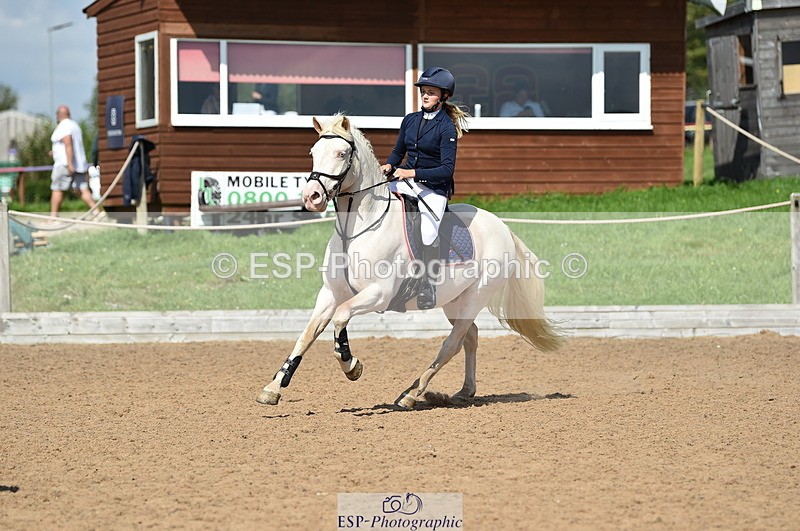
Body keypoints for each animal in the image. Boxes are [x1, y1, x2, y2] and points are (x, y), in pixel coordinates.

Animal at [257, 114, 563, 409]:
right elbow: (306, 335)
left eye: (342, 153)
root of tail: (502, 227)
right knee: (470, 337)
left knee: (452, 343)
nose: (312, 197)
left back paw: (412, 393)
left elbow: (341, 317)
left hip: (475, 297)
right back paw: (463, 391)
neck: (356, 229)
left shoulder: (379, 294)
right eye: (313, 152)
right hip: (454, 300)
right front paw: (273, 388)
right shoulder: (330, 293)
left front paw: (351, 365)